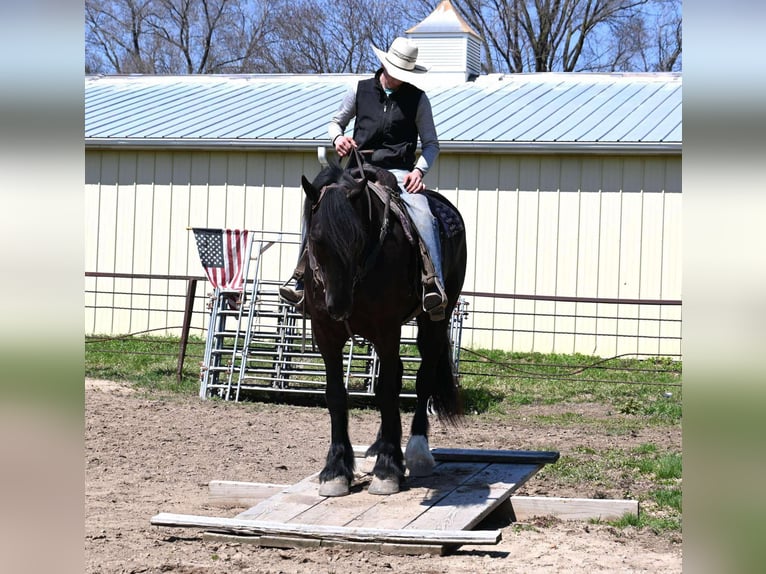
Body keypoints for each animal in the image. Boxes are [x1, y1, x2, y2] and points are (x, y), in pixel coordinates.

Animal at [299, 161, 467, 496]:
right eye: (316, 238)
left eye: (356, 238)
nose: (339, 306)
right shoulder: (326, 333)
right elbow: (336, 394)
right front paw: (335, 470)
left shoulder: (386, 329)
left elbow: (387, 391)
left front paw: (388, 469)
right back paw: (379, 445)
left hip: (434, 321)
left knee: (423, 378)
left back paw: (416, 453)